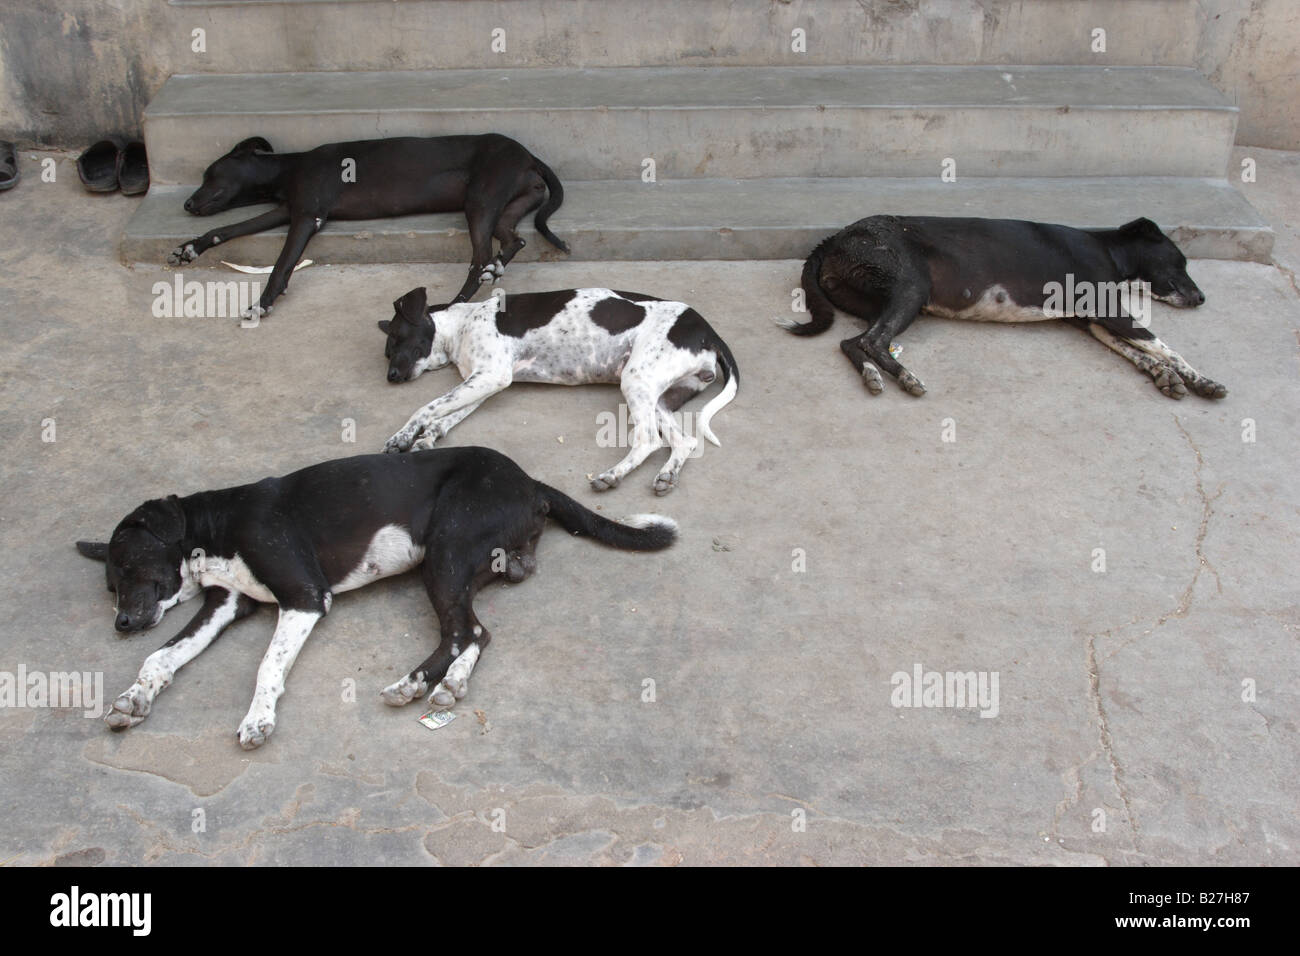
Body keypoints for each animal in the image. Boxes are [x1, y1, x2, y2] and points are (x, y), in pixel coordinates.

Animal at [76, 444, 676, 749]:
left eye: (127, 565)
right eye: (109, 585)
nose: (121, 625)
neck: (218, 526)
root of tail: (530, 482)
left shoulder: (304, 596)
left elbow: (267, 664)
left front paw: (258, 718)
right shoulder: (224, 603)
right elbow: (162, 656)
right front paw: (134, 697)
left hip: (445, 549)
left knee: (463, 630)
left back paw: (413, 683)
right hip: (461, 565)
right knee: (477, 633)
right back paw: (446, 687)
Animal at [167, 133, 569, 317]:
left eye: (209, 174)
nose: (187, 204)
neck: (288, 170)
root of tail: (529, 156)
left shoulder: (307, 216)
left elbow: (281, 265)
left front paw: (263, 303)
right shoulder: (286, 211)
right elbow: (229, 229)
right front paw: (190, 247)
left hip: (481, 201)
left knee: (480, 257)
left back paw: (456, 300)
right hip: (507, 207)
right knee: (512, 242)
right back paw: (496, 268)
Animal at [379, 287, 738, 496]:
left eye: (397, 337)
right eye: (388, 349)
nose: (391, 377)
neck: (463, 324)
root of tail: (708, 332)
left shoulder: (491, 376)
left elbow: (426, 407)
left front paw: (401, 436)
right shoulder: (484, 382)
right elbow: (445, 415)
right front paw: (427, 436)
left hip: (636, 380)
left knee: (649, 440)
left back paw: (613, 475)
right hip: (659, 398)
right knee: (684, 441)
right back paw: (667, 475)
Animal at [780, 215, 1227, 400]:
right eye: (1180, 262)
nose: (1203, 298)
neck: (1109, 250)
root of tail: (836, 238)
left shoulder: (1095, 321)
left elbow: (1142, 354)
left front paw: (1165, 377)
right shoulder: (1112, 312)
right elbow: (1168, 349)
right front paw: (1203, 381)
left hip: (883, 300)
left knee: (853, 343)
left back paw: (875, 376)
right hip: (911, 288)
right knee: (872, 342)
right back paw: (906, 377)